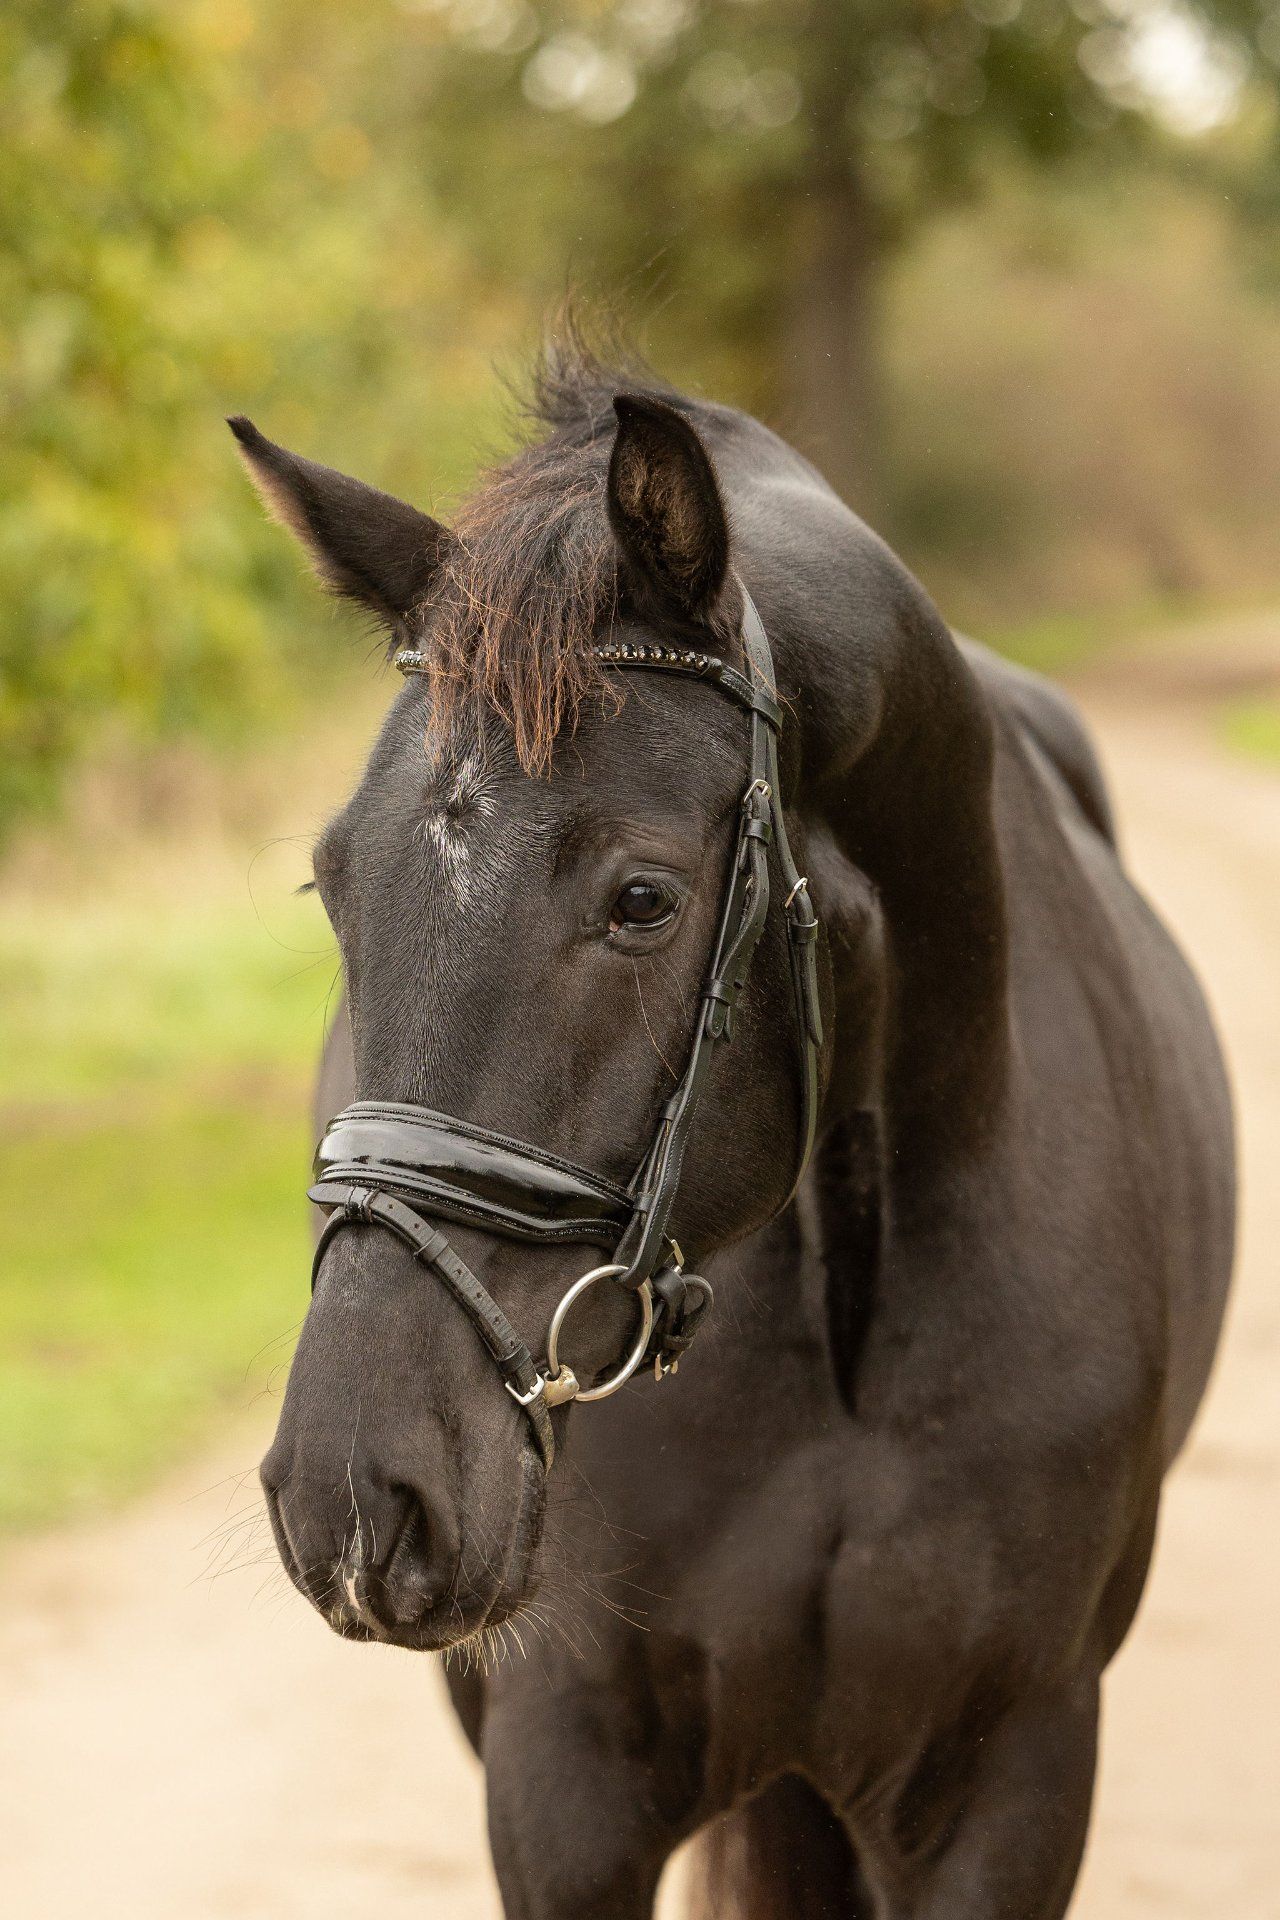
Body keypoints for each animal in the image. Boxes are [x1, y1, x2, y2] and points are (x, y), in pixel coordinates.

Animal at [234, 339, 1235, 1920]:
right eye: (332, 883)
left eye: (643, 899)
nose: (356, 1492)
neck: (839, 1303)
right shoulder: (566, 1788)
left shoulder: (1008, 1783)